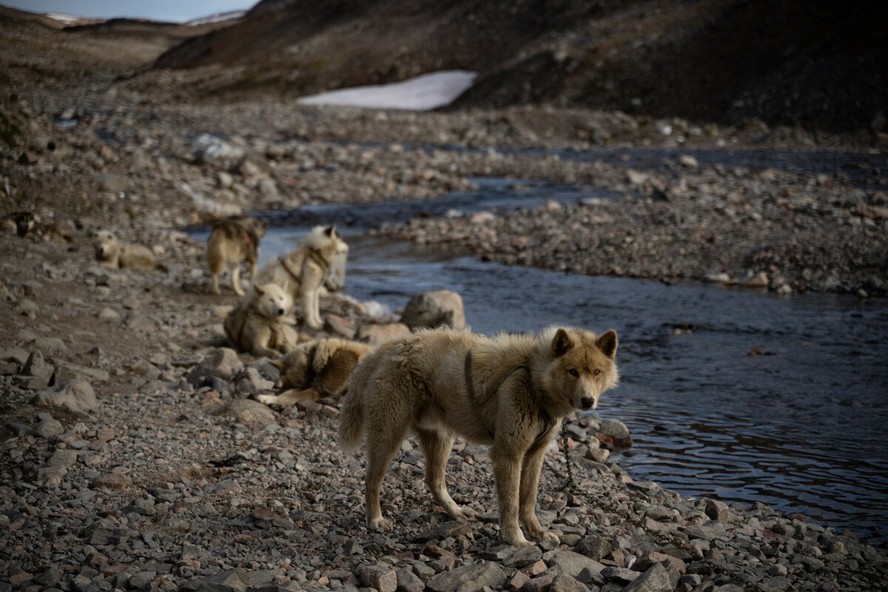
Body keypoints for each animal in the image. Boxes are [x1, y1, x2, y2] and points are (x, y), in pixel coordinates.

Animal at [336, 326, 620, 548]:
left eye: (596, 372)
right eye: (572, 371)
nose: (588, 400)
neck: (533, 378)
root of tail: (388, 348)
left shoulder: (534, 454)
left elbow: (528, 500)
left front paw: (538, 532)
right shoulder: (508, 454)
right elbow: (511, 503)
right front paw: (515, 538)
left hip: (441, 437)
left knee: (433, 480)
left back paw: (456, 511)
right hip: (389, 433)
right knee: (373, 479)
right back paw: (375, 519)